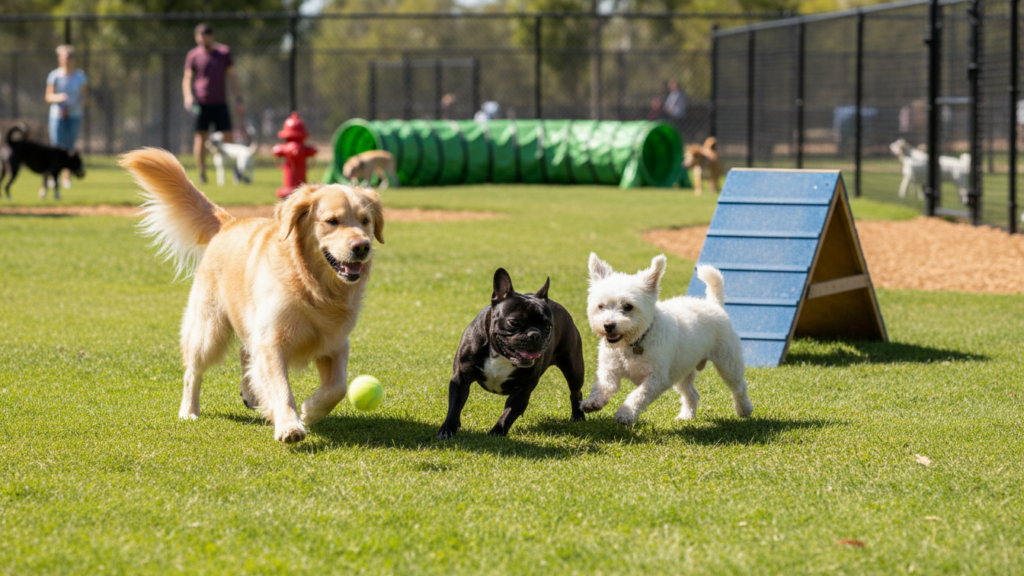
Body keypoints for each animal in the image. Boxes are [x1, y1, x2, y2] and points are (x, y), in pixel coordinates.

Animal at [119, 148, 384, 443]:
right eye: (332, 221)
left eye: (365, 221)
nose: (362, 246)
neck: (312, 286)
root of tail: (229, 223)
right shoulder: (271, 342)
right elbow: (281, 387)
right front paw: (289, 425)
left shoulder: (335, 342)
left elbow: (338, 387)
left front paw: (310, 410)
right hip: (208, 330)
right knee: (193, 371)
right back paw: (189, 410)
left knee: (245, 352)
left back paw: (249, 392)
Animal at [437, 268, 586, 439]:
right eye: (514, 322)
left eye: (548, 327)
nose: (535, 334)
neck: (500, 354)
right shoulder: (461, 379)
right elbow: (455, 404)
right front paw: (448, 428)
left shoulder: (523, 389)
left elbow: (509, 412)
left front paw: (497, 432)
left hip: (573, 368)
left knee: (575, 391)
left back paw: (578, 415)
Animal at [580, 254, 753, 425]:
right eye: (601, 306)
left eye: (628, 306)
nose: (608, 325)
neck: (633, 343)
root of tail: (714, 304)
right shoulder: (609, 371)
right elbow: (602, 386)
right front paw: (592, 402)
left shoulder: (657, 379)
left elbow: (638, 395)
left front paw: (625, 413)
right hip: (682, 371)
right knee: (692, 394)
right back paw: (686, 416)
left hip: (728, 363)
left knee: (739, 387)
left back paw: (744, 409)